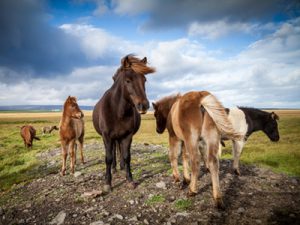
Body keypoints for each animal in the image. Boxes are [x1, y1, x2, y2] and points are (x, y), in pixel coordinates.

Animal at [92, 54, 156, 192]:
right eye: (128, 80)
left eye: (144, 80)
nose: (144, 105)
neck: (118, 111)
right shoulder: (106, 137)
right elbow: (108, 158)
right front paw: (108, 183)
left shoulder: (127, 136)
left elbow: (127, 156)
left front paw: (130, 180)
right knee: (113, 152)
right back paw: (114, 168)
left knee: (119, 150)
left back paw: (120, 167)